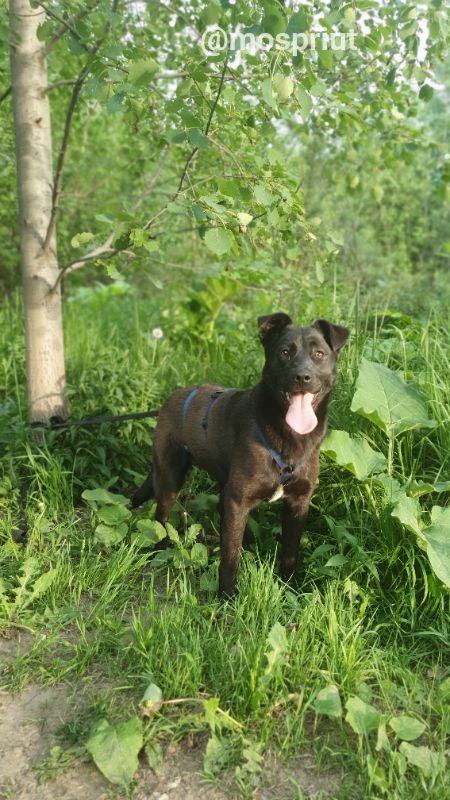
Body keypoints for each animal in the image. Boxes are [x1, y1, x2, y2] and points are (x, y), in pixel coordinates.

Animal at [132, 312, 350, 592]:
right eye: (285, 352)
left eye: (319, 354)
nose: (302, 377)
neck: (287, 438)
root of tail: (173, 395)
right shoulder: (239, 502)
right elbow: (230, 556)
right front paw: (227, 595)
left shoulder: (298, 503)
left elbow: (290, 553)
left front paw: (290, 587)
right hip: (171, 476)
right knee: (161, 516)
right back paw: (161, 548)